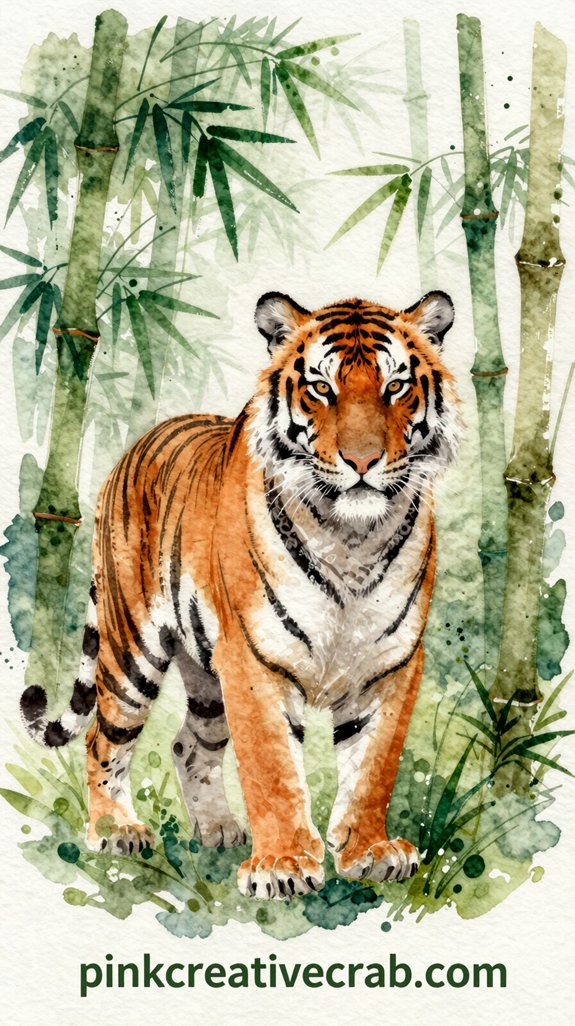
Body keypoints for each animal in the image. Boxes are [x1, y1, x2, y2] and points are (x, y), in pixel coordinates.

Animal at [21, 290, 459, 899]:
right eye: (321, 388)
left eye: (396, 386)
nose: (363, 461)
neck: (352, 538)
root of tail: (132, 449)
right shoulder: (253, 661)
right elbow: (271, 768)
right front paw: (283, 867)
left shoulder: (390, 664)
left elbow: (373, 766)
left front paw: (369, 853)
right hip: (133, 650)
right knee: (102, 740)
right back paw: (116, 831)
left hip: (207, 675)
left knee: (187, 744)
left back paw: (217, 830)